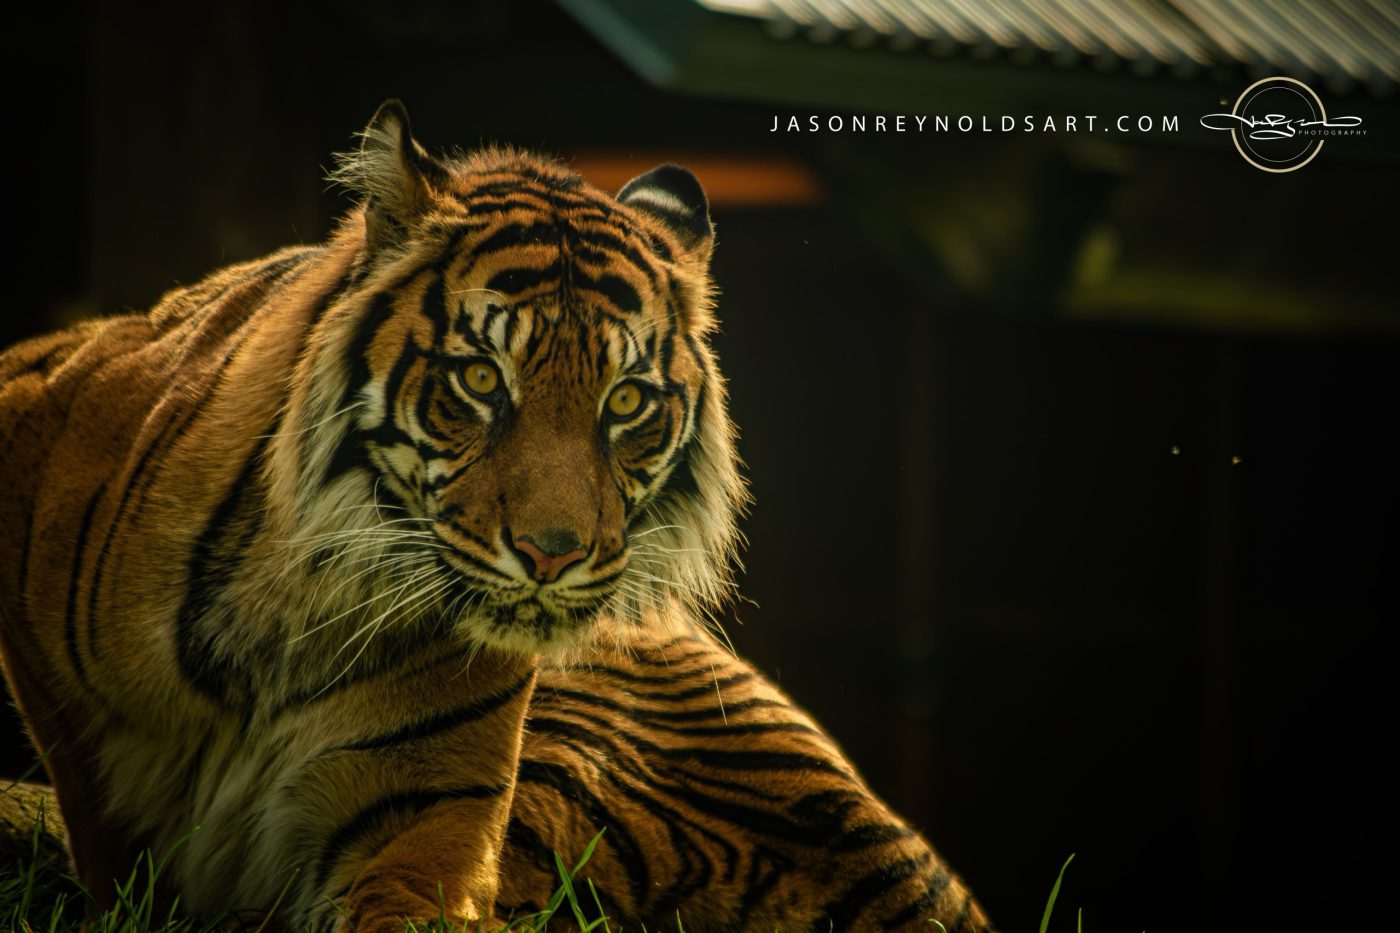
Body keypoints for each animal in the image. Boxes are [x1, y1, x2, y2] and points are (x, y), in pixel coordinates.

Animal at [0, 101, 992, 931]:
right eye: (481, 379)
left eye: (626, 401)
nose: (553, 555)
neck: (291, 613)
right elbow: (97, 812)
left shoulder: (421, 825)